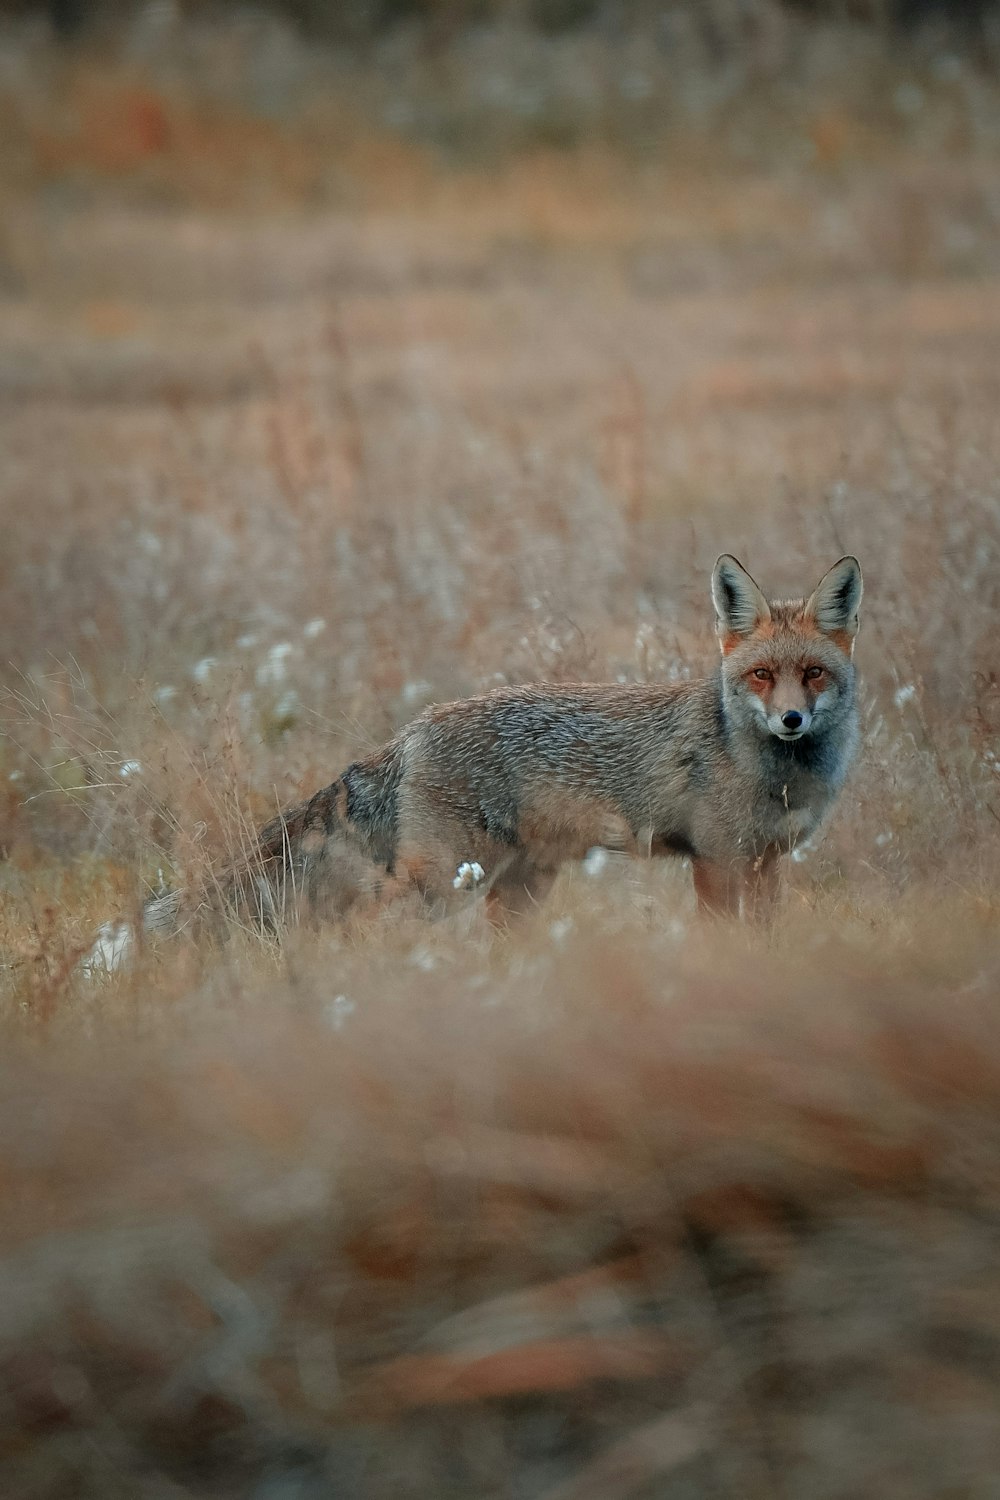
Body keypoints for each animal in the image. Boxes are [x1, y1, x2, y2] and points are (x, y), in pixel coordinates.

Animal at [134, 552, 869, 948]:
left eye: (814, 674)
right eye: (761, 675)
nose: (792, 720)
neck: (777, 774)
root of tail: (413, 728)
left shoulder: (767, 861)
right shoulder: (716, 859)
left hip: (514, 887)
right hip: (444, 879)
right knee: (370, 914)